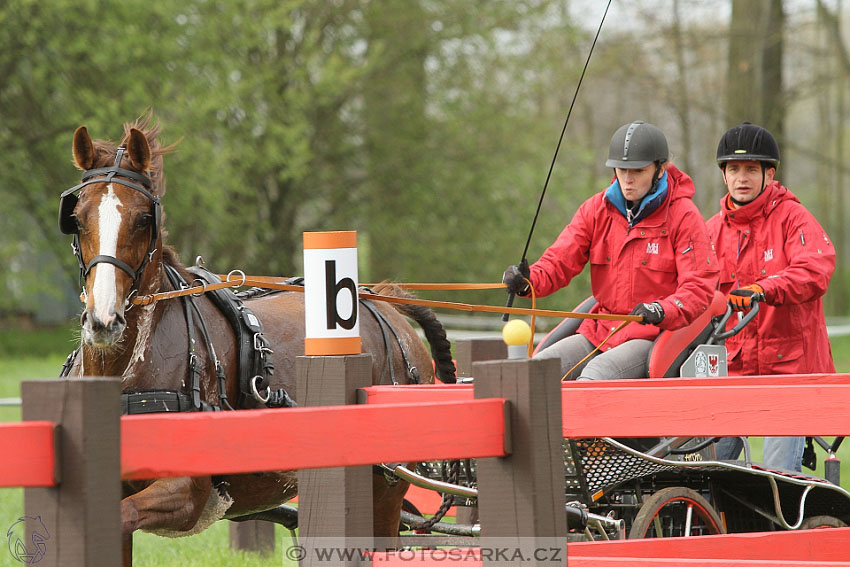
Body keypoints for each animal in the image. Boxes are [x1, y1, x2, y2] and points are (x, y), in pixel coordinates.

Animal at [58, 115, 458, 560]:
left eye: (144, 218)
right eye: (77, 217)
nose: (104, 320)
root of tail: (386, 307)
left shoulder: (187, 493)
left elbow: (126, 513)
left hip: (386, 490)